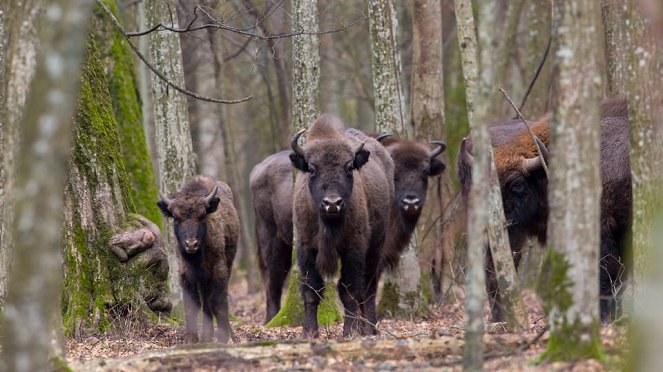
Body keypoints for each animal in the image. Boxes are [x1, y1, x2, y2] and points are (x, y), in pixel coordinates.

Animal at [157, 176, 240, 342]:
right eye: (176, 218)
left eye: (202, 216)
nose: (191, 244)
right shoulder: (186, 275)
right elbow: (192, 306)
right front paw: (191, 338)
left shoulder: (218, 270)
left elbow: (218, 302)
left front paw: (223, 337)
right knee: (205, 303)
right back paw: (207, 336)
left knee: (211, 302)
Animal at [290, 114, 394, 338]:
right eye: (312, 169)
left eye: (348, 167)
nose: (332, 203)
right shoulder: (305, 248)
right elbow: (312, 290)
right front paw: (310, 332)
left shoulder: (353, 249)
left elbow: (349, 291)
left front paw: (349, 331)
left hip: (376, 246)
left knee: (369, 287)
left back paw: (369, 328)